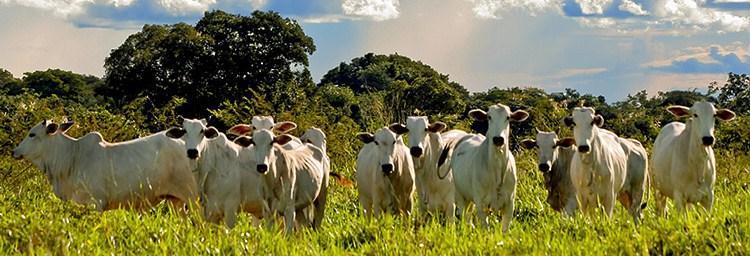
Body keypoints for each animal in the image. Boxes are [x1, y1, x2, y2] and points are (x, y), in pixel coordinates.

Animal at [13, 120, 200, 212]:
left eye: (32, 134)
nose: (15, 151)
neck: (73, 157)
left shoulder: (97, 202)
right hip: (176, 200)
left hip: (194, 198)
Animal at [450, 103, 532, 231]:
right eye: (489, 117)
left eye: (508, 117)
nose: (498, 139)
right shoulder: (481, 203)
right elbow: (485, 228)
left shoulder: (510, 203)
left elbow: (504, 229)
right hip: (460, 195)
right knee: (464, 215)